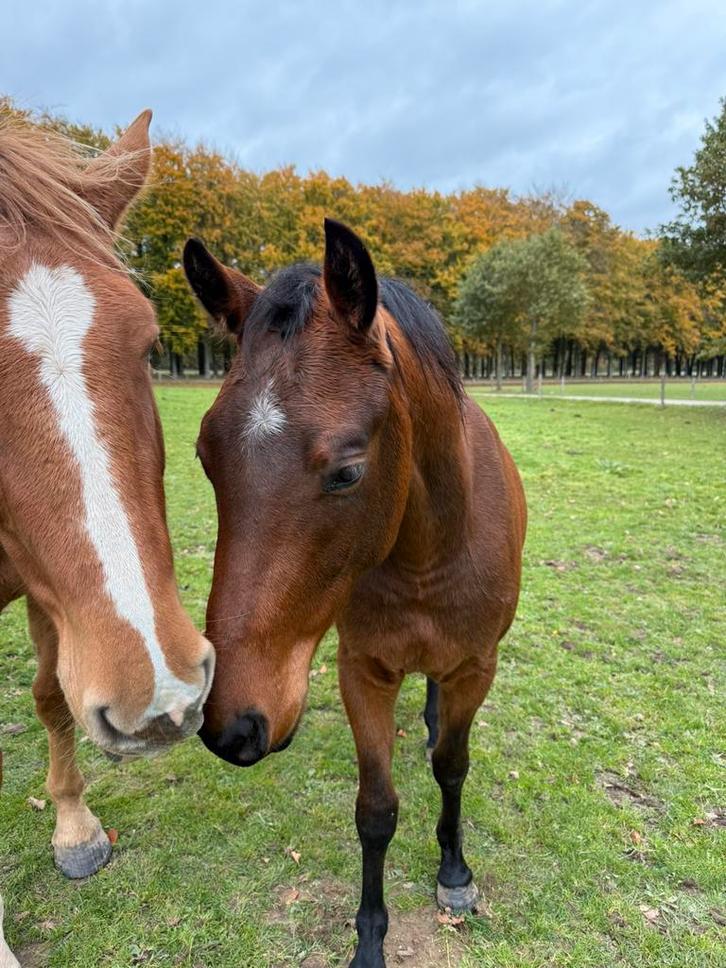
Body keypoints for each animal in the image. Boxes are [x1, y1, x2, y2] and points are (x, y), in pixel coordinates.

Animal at [183, 219, 526, 967]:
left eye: (346, 472)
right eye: (203, 457)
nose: (232, 725)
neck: (427, 555)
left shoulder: (474, 667)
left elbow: (453, 767)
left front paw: (454, 872)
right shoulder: (363, 671)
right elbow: (376, 811)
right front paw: (369, 938)